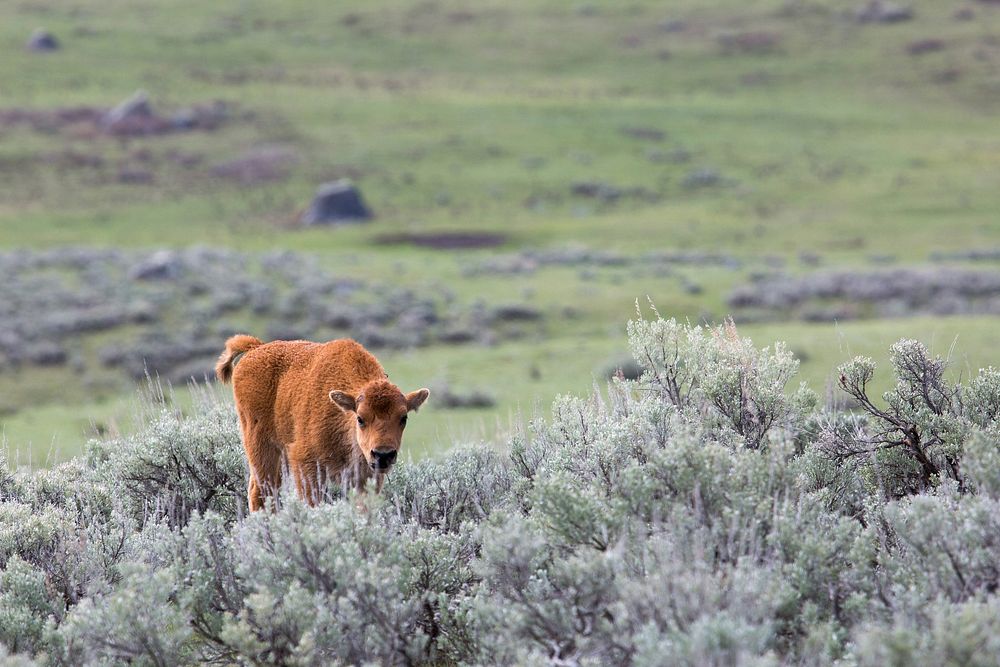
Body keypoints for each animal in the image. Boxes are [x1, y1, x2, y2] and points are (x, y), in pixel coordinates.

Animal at [215, 334, 426, 512]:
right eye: (360, 418)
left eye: (403, 418)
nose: (383, 455)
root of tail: (255, 348)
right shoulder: (306, 463)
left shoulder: (365, 476)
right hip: (261, 447)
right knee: (261, 493)